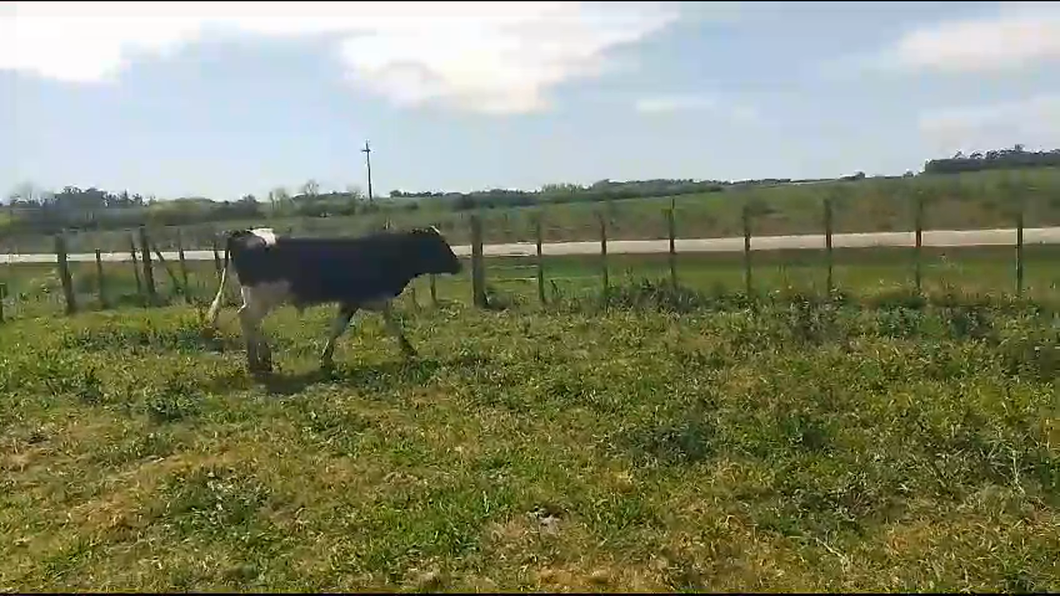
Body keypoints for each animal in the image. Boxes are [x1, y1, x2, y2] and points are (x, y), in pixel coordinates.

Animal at [208, 224, 462, 373]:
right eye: (436, 244)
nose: (458, 265)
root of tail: (246, 232)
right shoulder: (354, 299)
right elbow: (340, 327)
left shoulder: (371, 298)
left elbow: (388, 322)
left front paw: (408, 348)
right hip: (262, 297)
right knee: (247, 319)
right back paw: (258, 360)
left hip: (255, 297)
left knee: (249, 320)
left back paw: (259, 361)